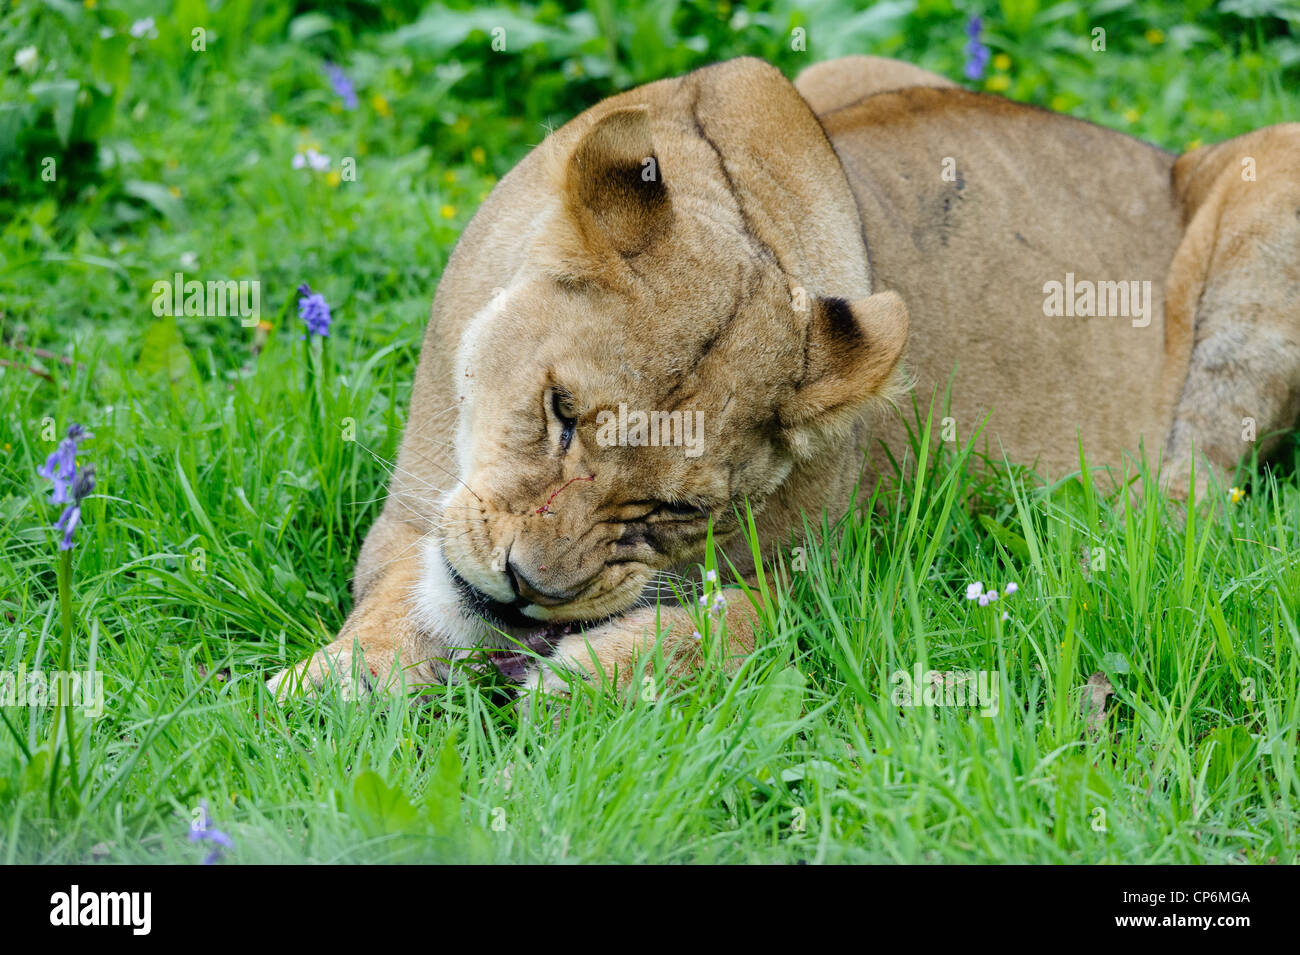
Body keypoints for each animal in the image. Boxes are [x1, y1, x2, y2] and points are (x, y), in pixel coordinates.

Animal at [269, 56, 1300, 700]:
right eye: (559, 412)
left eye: (676, 511)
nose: (527, 588)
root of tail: (1168, 155)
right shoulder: (410, 515)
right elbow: (397, 610)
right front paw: (316, 691)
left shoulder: (847, 578)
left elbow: (745, 621)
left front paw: (596, 676)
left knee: (1193, 503)